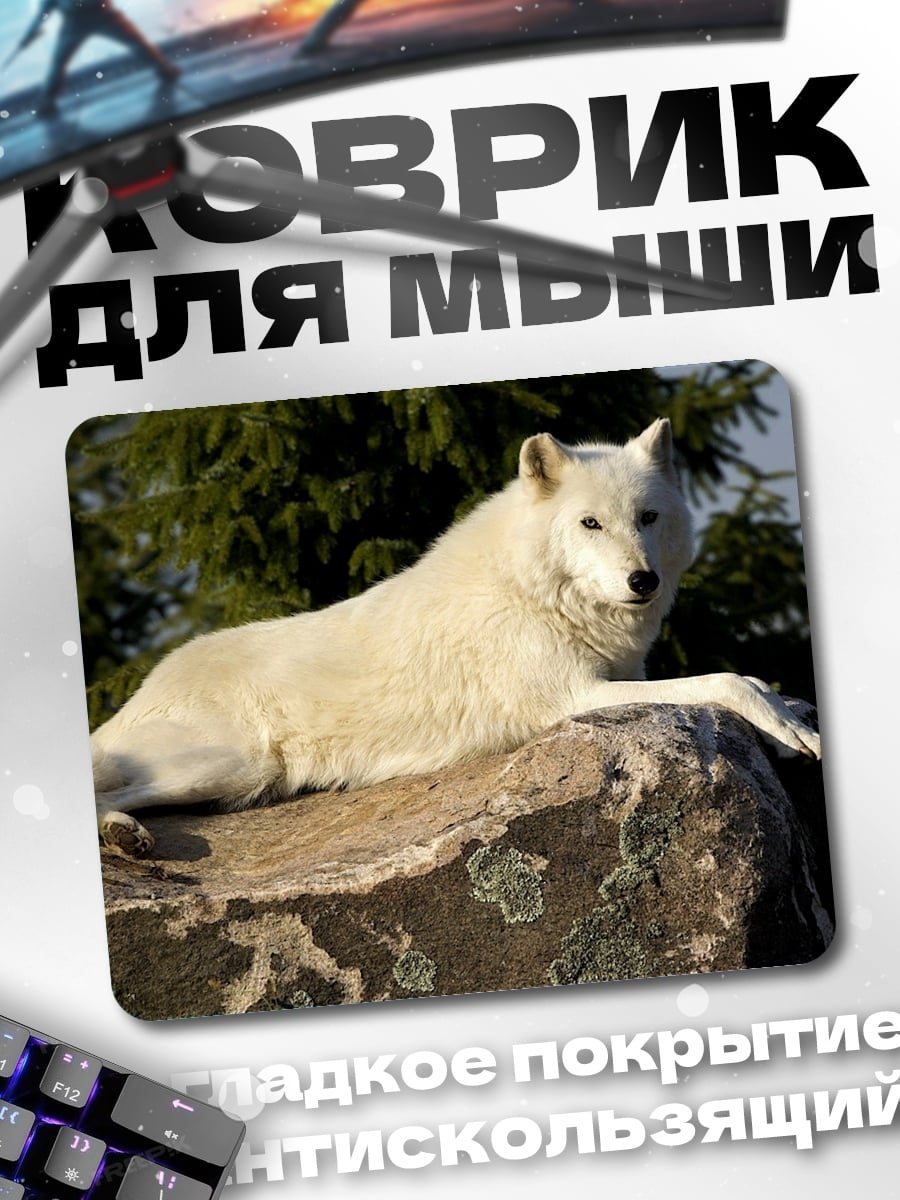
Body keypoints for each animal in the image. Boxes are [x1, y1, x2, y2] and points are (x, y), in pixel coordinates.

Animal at [93, 418, 820, 856]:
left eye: (647, 517)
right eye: (590, 523)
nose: (643, 580)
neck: (535, 593)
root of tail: (138, 693)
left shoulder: (625, 677)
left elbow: (748, 678)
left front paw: (793, 716)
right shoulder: (573, 698)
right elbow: (727, 679)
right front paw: (790, 726)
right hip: (232, 764)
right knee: (107, 796)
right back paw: (125, 836)